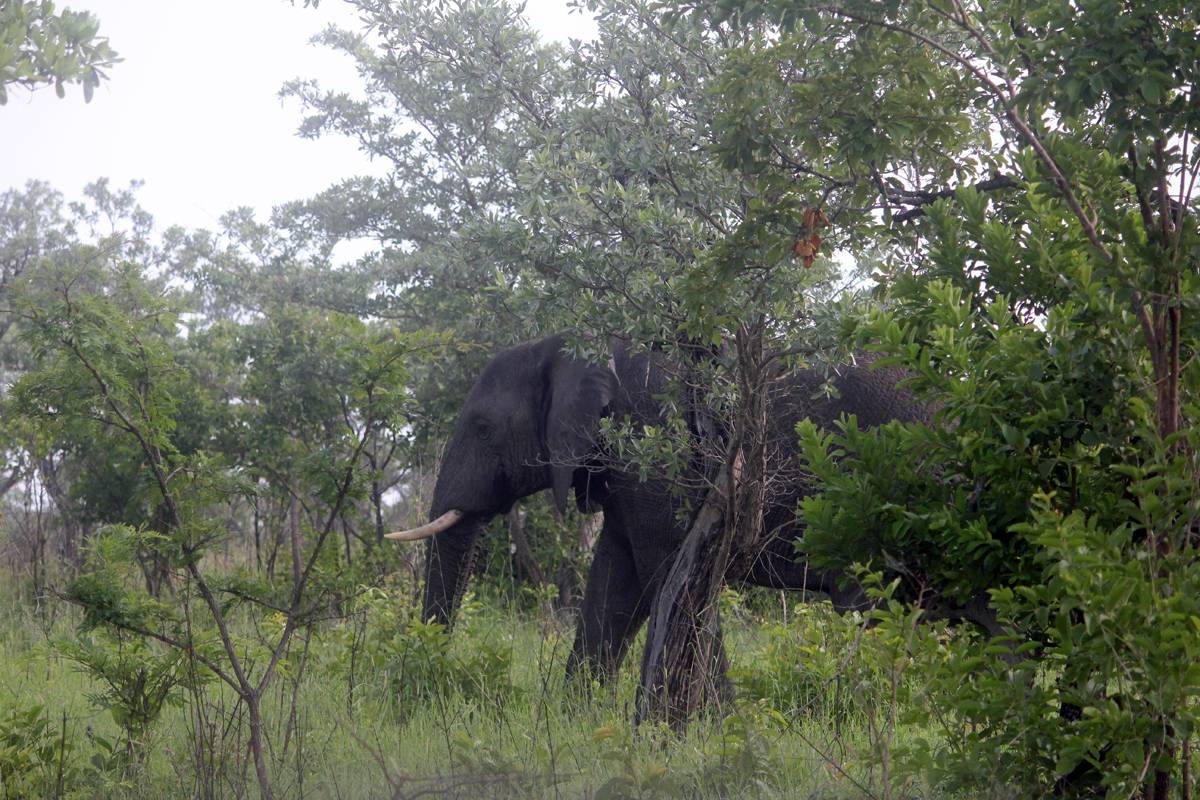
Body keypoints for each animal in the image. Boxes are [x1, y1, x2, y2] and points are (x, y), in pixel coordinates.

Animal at [388, 331, 940, 681]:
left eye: (483, 429)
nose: (435, 674)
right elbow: (614, 585)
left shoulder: (659, 446)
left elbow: (668, 582)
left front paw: (715, 733)